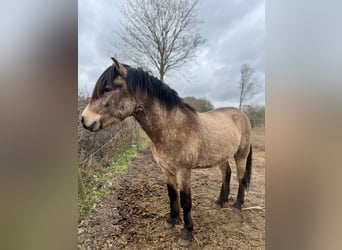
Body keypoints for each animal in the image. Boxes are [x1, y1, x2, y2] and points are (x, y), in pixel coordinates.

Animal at [79, 57, 251, 246]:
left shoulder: (184, 171)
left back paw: (238, 204)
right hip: (221, 157)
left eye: (108, 88)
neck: (172, 127)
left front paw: (186, 233)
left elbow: (185, 201)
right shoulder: (166, 170)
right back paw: (220, 201)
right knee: (226, 174)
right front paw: (171, 220)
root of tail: (242, 114)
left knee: (241, 177)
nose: (84, 120)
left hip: (240, 155)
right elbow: (171, 195)